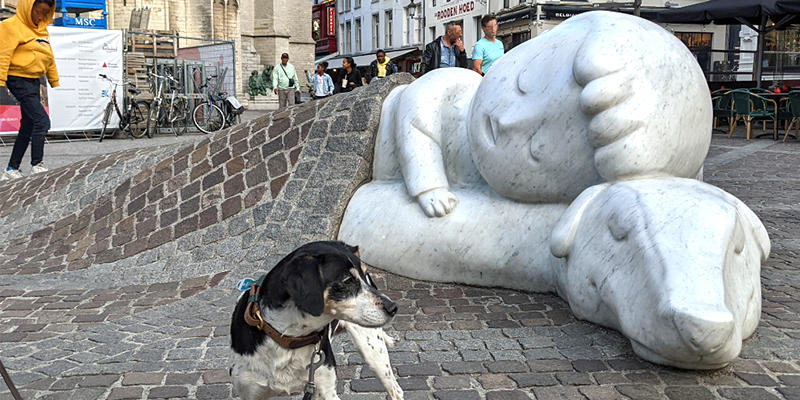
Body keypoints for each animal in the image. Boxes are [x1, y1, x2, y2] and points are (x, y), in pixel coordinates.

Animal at [231, 241, 406, 400]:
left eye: (365, 274)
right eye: (347, 280)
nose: (393, 308)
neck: (289, 339)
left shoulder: (325, 389)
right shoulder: (250, 392)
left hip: (373, 350)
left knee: (396, 390)